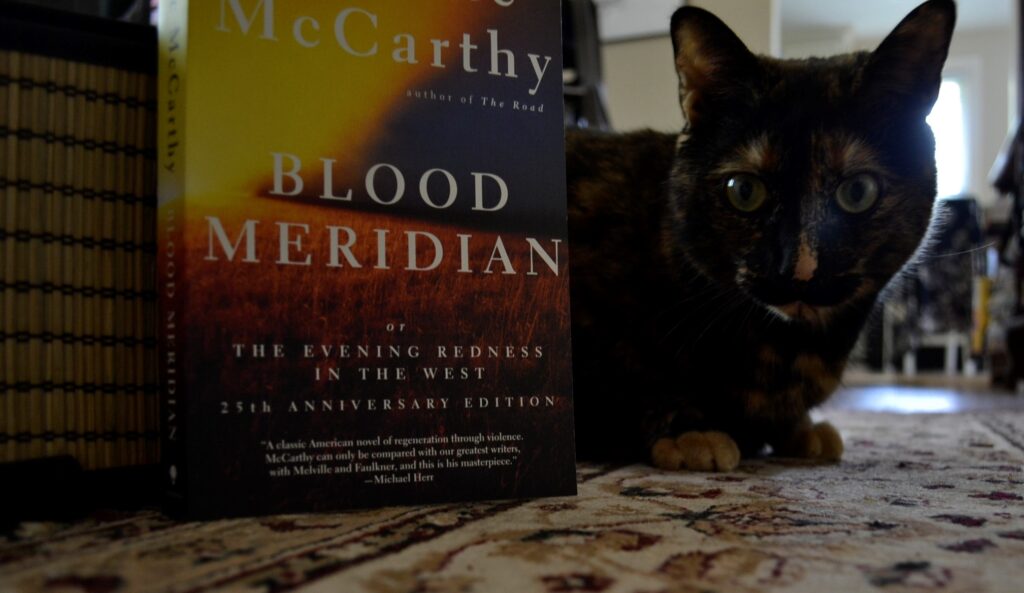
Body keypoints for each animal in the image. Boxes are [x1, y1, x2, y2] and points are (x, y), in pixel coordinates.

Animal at [573, 2, 954, 471]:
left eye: (858, 192)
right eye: (744, 190)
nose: (799, 271)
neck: (790, 349)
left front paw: (800, 428)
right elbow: (630, 376)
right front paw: (690, 431)